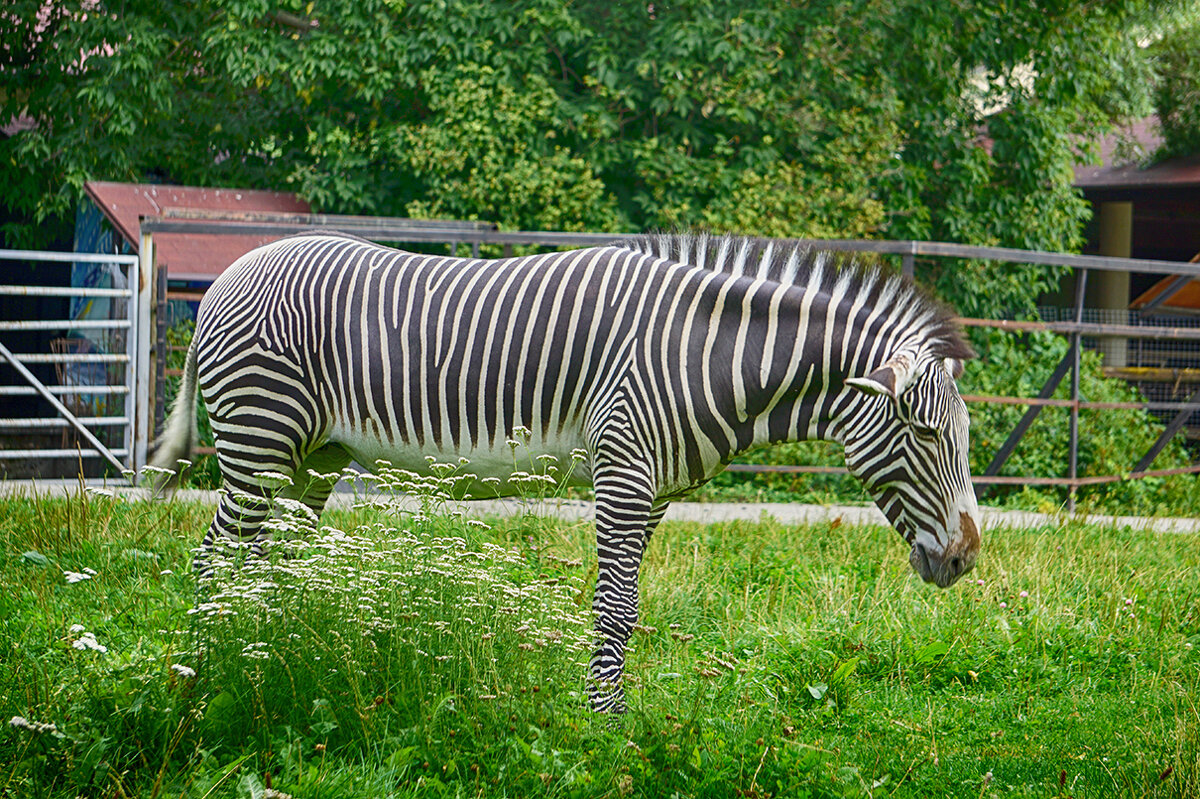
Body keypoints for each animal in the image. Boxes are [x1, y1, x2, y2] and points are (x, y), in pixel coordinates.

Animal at [150, 230, 979, 710]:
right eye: (925, 432)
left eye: (963, 438)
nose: (968, 557)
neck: (706, 353)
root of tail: (229, 272)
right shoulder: (624, 472)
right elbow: (614, 605)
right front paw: (603, 722)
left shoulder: (657, 492)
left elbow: (629, 607)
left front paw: (613, 709)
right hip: (260, 440)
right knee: (213, 558)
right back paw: (207, 673)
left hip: (310, 460)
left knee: (262, 563)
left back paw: (268, 659)